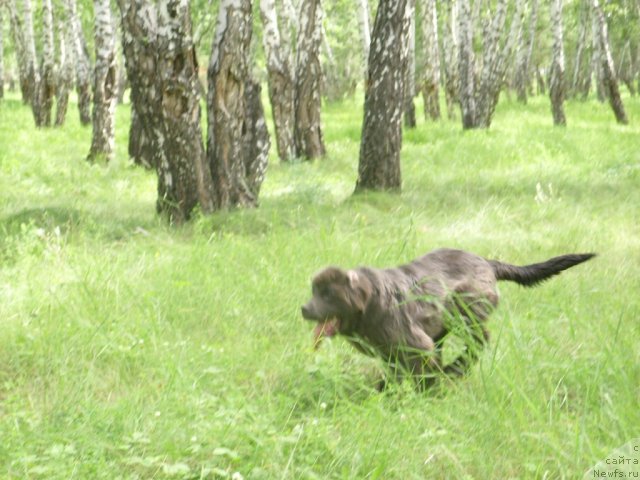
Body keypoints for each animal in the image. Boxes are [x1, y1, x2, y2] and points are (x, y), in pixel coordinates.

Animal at [302, 249, 592, 388]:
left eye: (327, 294)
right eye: (313, 291)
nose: (304, 308)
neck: (370, 303)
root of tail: (487, 262)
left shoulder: (414, 342)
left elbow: (420, 372)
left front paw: (428, 392)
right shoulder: (391, 351)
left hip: (463, 305)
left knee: (480, 338)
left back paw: (454, 368)